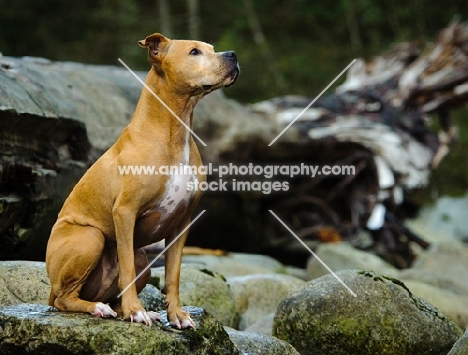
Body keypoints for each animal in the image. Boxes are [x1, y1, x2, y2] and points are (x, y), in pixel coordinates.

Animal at [45, 33, 239, 328]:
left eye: (212, 49)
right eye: (194, 52)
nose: (233, 55)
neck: (174, 130)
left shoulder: (182, 222)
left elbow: (173, 275)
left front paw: (177, 315)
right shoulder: (125, 212)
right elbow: (125, 268)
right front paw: (137, 311)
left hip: (143, 261)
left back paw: (130, 310)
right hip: (91, 238)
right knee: (64, 299)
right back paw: (101, 309)